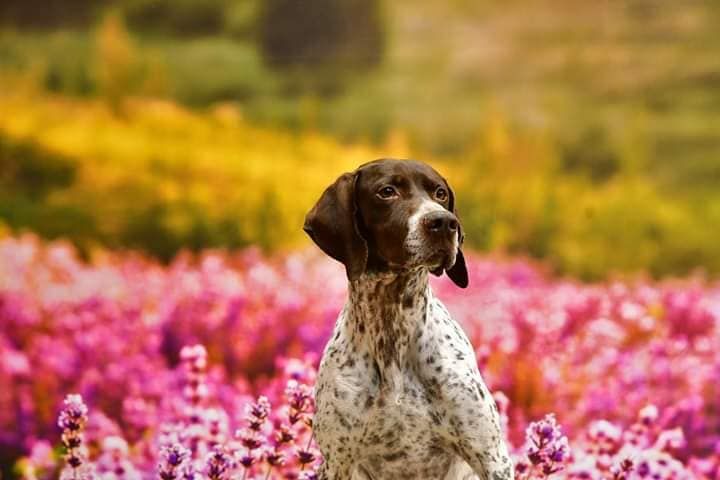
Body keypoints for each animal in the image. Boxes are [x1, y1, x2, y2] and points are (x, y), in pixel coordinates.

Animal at [302, 158, 512, 480]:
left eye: (440, 193)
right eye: (387, 191)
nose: (443, 222)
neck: (393, 324)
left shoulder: (491, 457)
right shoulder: (338, 462)